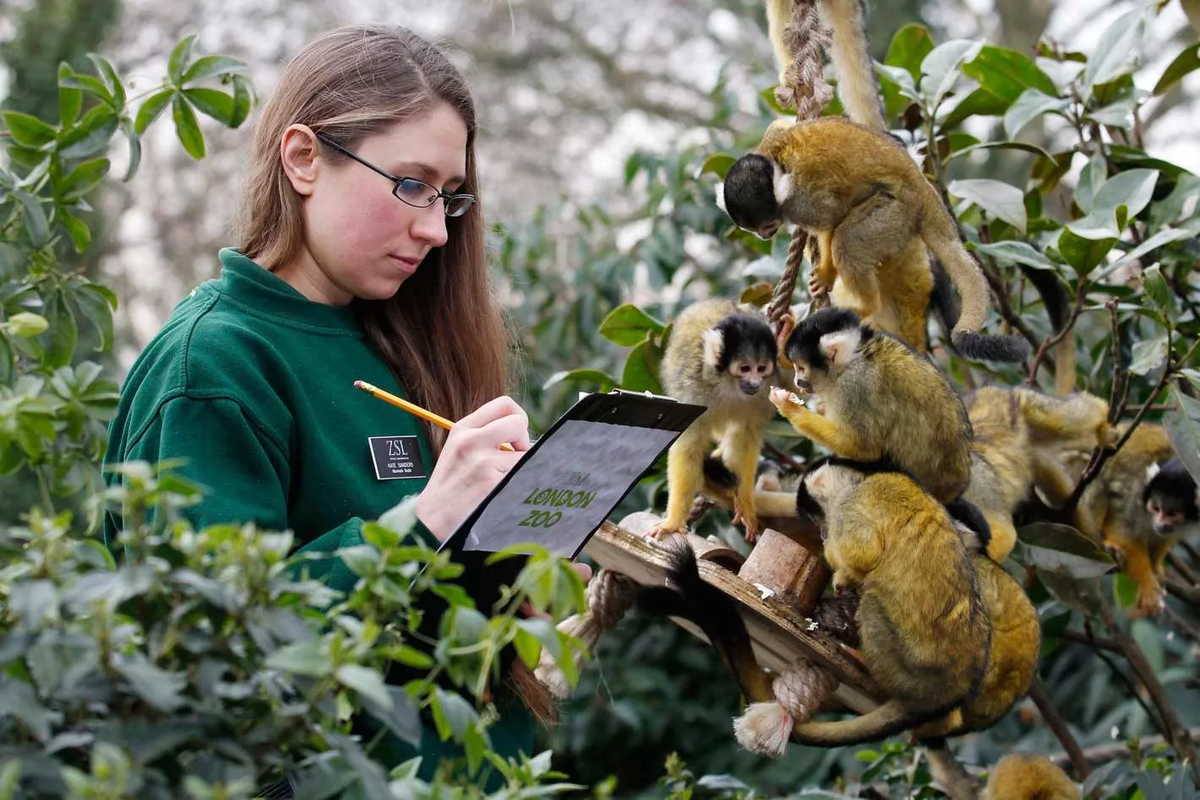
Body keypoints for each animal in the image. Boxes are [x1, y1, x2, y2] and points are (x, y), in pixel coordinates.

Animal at [643, 460, 988, 748]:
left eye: (819, 517)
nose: (822, 533)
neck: (861, 480)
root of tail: (954, 687)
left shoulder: (851, 505)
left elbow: (864, 553)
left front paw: (839, 565)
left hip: (911, 668)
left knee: (873, 604)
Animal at [648, 299, 777, 544]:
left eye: (761, 368)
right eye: (745, 368)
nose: (755, 382)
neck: (728, 384)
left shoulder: (765, 394)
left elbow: (746, 440)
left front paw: (745, 502)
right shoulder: (695, 391)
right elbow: (688, 446)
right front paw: (673, 522)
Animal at [768, 309, 974, 506]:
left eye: (801, 368)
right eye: (795, 368)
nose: (797, 381)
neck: (854, 357)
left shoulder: (853, 386)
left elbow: (861, 447)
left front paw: (791, 409)